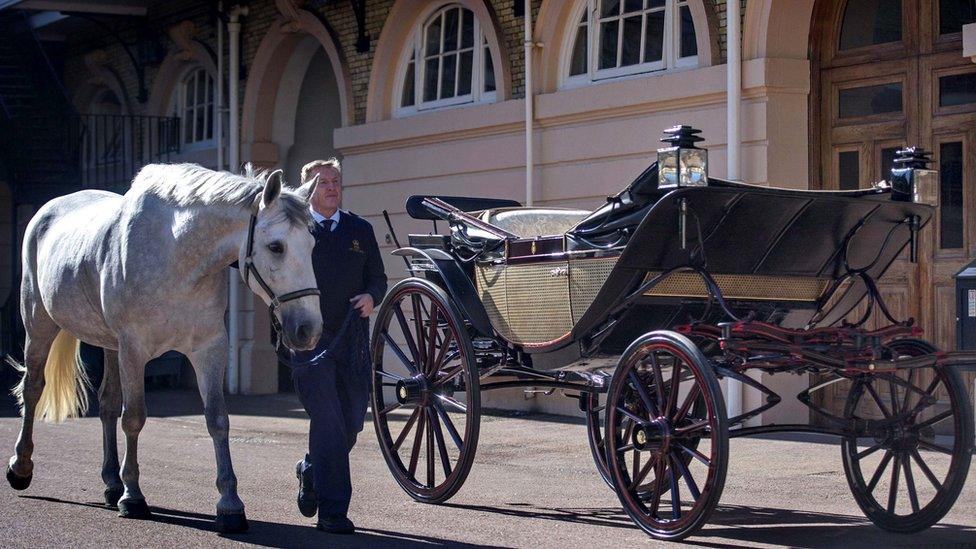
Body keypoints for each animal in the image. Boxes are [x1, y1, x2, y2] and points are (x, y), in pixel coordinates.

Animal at [4, 163, 324, 532]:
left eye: (312, 244)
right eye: (276, 247)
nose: (308, 329)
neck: (176, 255)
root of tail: (48, 210)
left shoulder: (209, 349)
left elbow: (217, 419)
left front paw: (230, 505)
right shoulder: (133, 349)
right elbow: (134, 418)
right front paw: (133, 497)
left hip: (110, 345)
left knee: (107, 403)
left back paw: (111, 483)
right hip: (40, 325)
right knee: (33, 388)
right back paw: (21, 467)